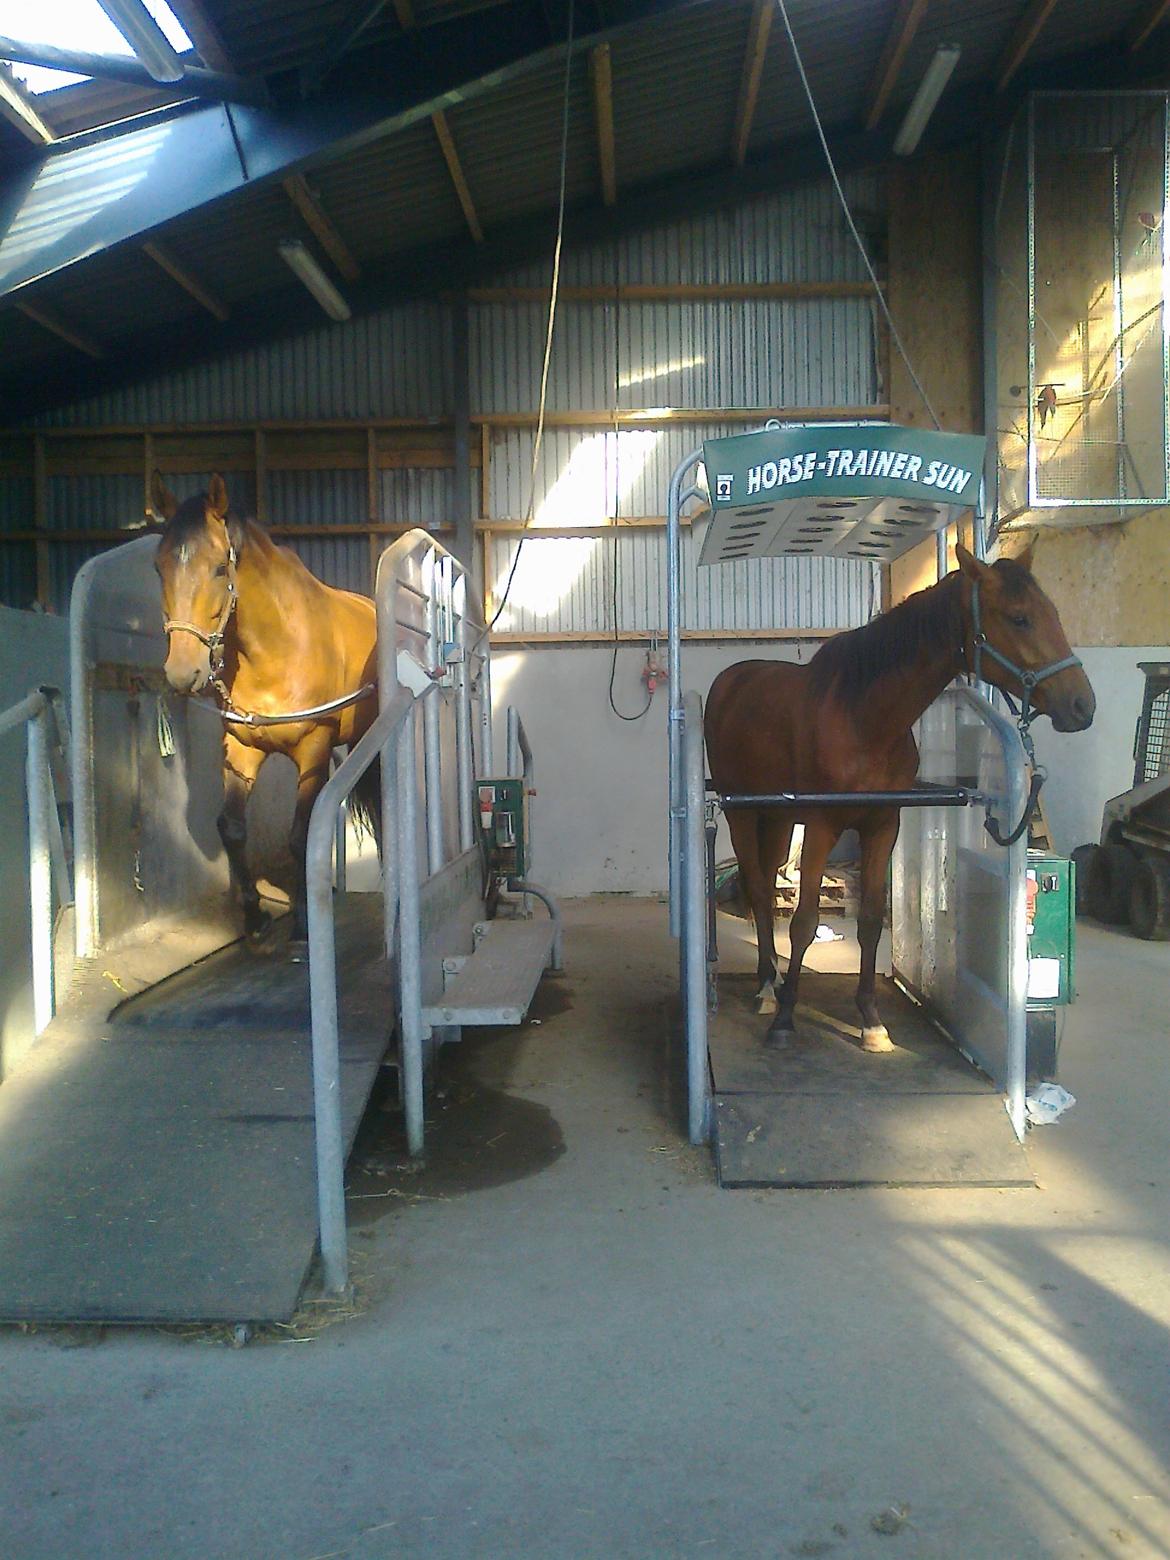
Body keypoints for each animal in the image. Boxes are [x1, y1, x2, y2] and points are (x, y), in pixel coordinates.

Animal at [152, 471, 380, 948]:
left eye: (220, 568)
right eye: (158, 566)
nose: (183, 672)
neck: (277, 649)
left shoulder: (313, 750)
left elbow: (300, 836)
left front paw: (303, 923)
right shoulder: (241, 749)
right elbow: (232, 828)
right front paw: (254, 916)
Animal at [705, 542, 1098, 1054]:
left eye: (1051, 612)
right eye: (1019, 618)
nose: (1082, 706)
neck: (862, 719)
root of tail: (731, 680)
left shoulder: (881, 825)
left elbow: (872, 921)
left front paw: (871, 1021)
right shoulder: (822, 825)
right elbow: (805, 921)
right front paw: (787, 1020)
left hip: (778, 818)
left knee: (767, 890)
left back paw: (768, 983)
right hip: (742, 813)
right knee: (756, 886)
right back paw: (769, 991)